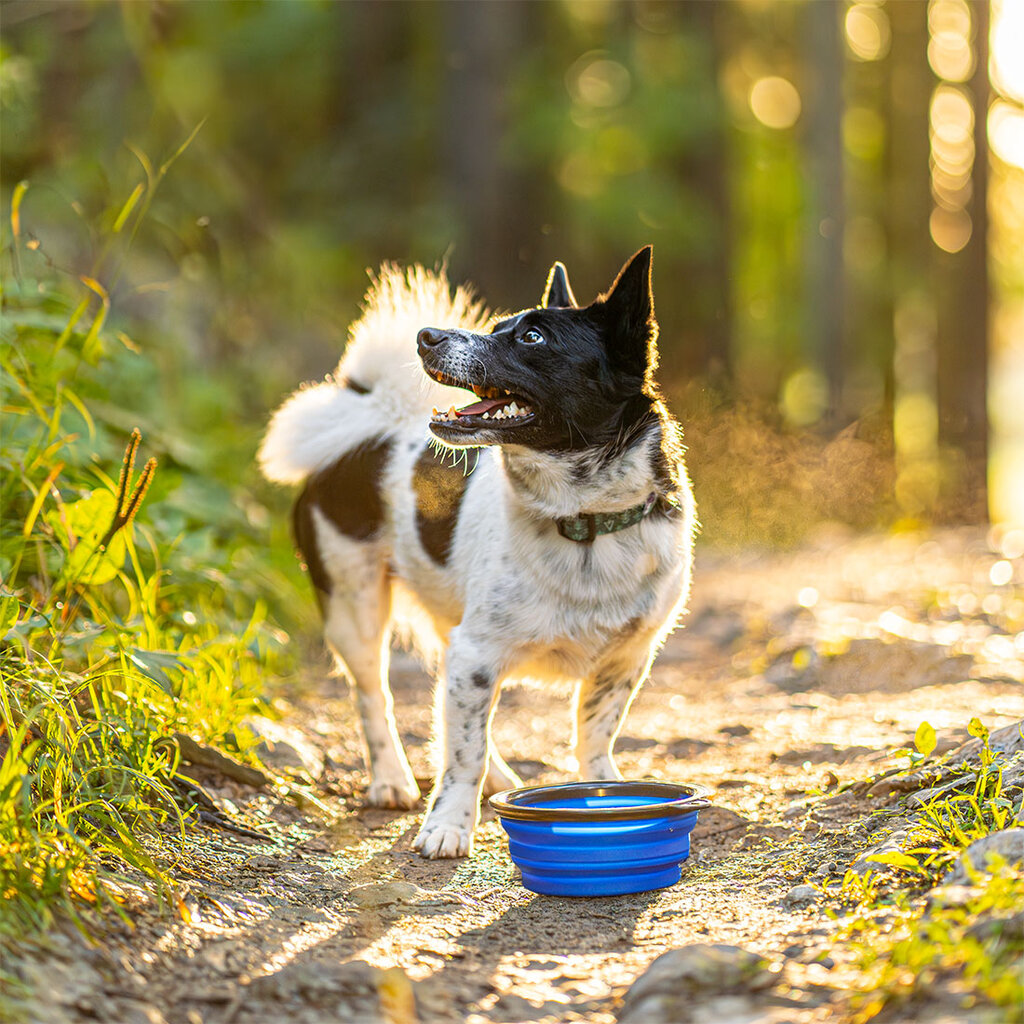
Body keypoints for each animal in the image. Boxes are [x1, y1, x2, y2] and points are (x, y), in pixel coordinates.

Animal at [260, 247, 700, 856]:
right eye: (496, 328)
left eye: (533, 337)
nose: (426, 336)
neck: (581, 521)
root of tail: (367, 425)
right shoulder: (476, 654)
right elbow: (463, 754)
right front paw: (447, 825)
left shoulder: (623, 662)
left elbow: (594, 734)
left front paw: (608, 792)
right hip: (356, 607)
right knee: (375, 697)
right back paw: (391, 780)